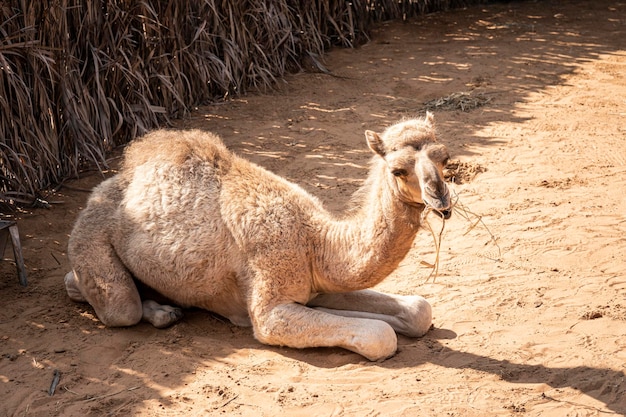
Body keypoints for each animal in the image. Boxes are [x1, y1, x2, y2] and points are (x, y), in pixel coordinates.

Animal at [66, 112, 450, 360]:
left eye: (445, 158)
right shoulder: (271, 302)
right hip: (91, 236)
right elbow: (380, 336)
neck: (316, 241)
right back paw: (161, 313)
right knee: (117, 305)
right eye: (398, 170)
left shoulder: (317, 283)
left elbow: (419, 310)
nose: (441, 198)